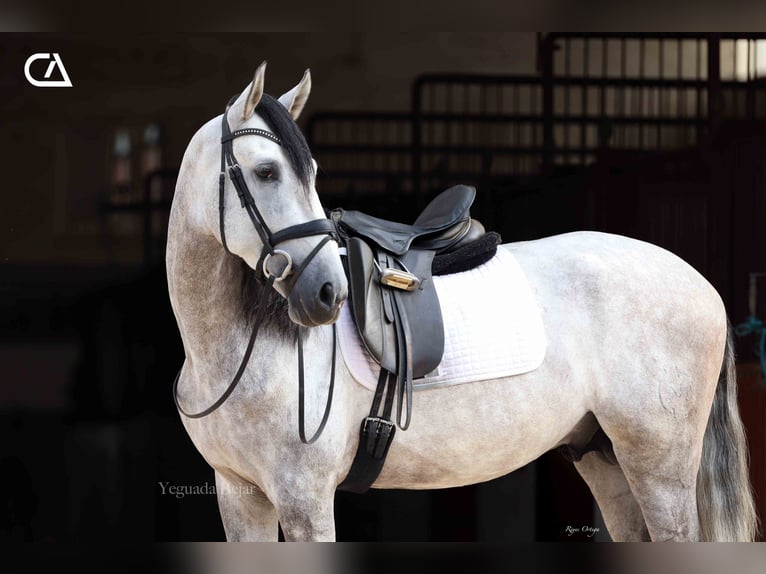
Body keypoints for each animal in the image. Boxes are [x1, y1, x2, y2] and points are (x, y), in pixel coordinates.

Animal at [166, 62, 758, 542]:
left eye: (306, 173)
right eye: (267, 172)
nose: (328, 293)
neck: (233, 352)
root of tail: (703, 286)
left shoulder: (303, 498)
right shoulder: (241, 497)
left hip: (659, 465)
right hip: (605, 458)